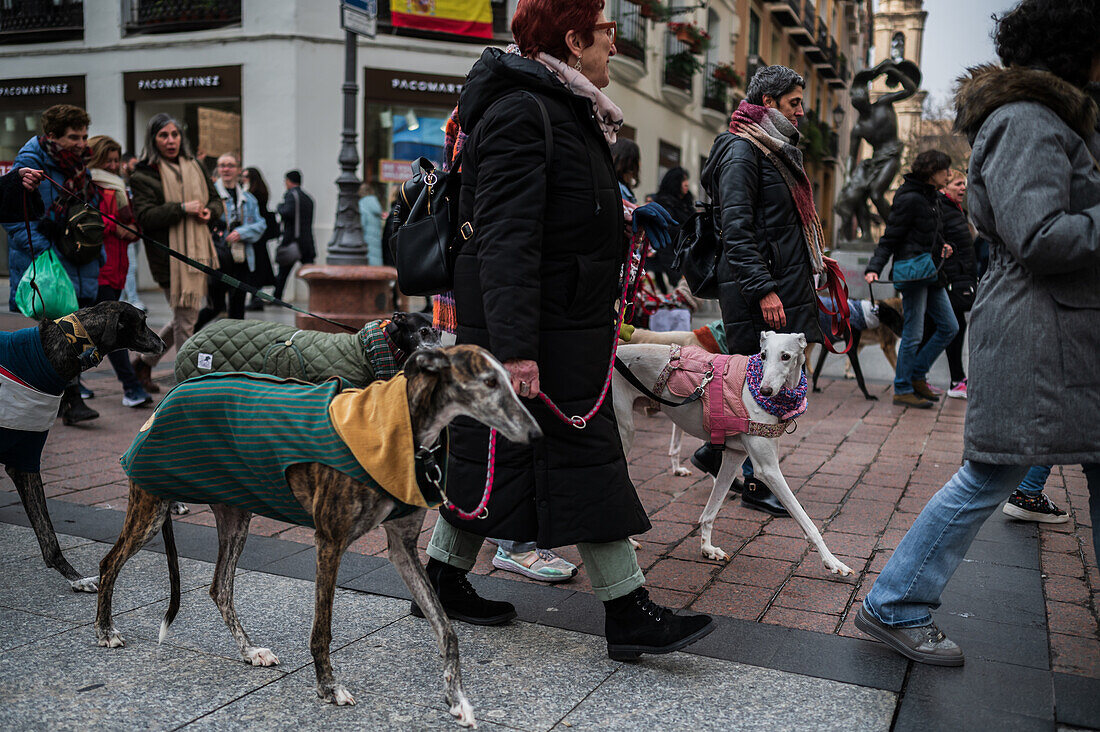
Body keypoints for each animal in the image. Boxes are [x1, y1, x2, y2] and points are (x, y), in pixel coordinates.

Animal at [1, 299, 165, 590]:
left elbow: (47, 534)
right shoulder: (23, 459)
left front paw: (76, 578)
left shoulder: (25, 455)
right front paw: (76, 577)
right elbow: (47, 532)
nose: (163, 344)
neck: (55, 348)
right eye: (143, 321)